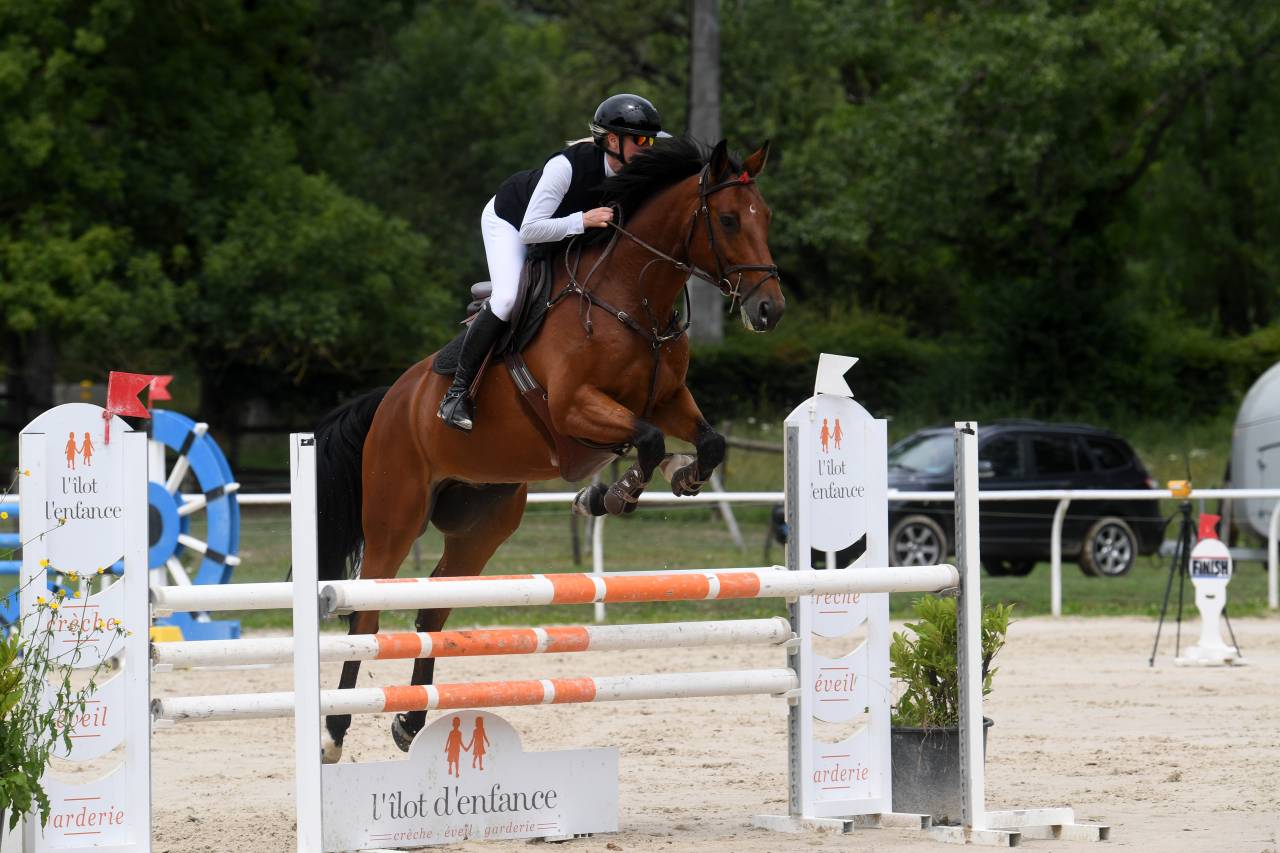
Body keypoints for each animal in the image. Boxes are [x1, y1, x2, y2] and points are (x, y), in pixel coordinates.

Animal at [314, 137, 784, 762]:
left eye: (767, 217)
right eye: (729, 219)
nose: (769, 311)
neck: (632, 298)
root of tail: (391, 399)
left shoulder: (667, 399)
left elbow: (706, 440)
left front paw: (673, 477)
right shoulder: (573, 411)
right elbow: (647, 440)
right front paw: (615, 493)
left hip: (484, 521)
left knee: (433, 606)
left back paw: (410, 722)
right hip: (396, 515)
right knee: (365, 614)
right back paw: (334, 732)